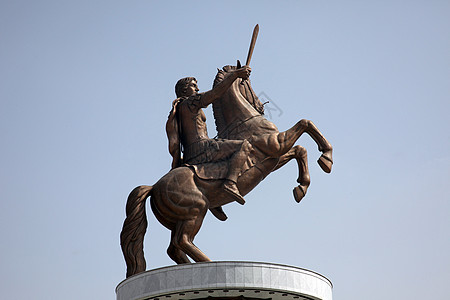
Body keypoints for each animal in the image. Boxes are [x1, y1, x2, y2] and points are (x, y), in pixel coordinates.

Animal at [119, 64, 330, 278]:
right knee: (182, 241)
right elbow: (305, 123)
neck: (245, 123)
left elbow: (300, 149)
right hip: (196, 210)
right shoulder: (275, 144)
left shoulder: (273, 159)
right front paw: (326, 158)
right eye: (247, 83)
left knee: (174, 248)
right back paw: (208, 262)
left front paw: (301, 187)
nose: (260, 106)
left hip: (178, 219)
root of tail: (153, 187)